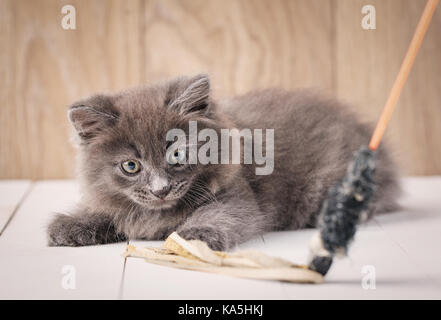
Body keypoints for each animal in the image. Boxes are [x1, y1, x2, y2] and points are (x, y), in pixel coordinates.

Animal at [47, 74, 398, 250]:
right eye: (130, 166)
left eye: (177, 154)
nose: (160, 190)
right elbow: (111, 212)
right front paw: (71, 225)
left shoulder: (237, 197)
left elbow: (219, 215)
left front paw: (194, 235)